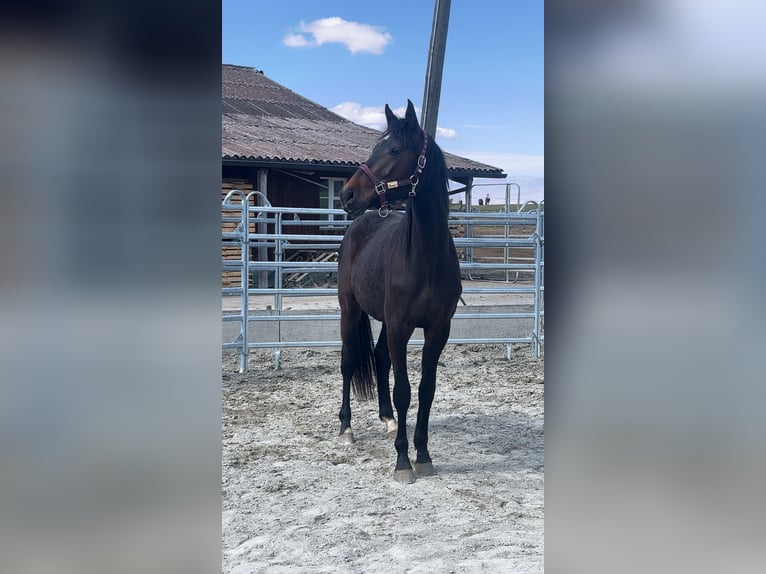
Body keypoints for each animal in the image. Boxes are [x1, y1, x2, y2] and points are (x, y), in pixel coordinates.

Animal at [336, 100, 462, 483]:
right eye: (375, 147)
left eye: (393, 149)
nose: (347, 194)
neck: (425, 256)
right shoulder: (400, 327)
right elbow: (404, 390)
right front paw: (403, 461)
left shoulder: (437, 330)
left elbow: (425, 390)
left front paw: (423, 455)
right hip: (350, 310)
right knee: (348, 361)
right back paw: (346, 429)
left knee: (378, 359)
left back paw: (388, 420)